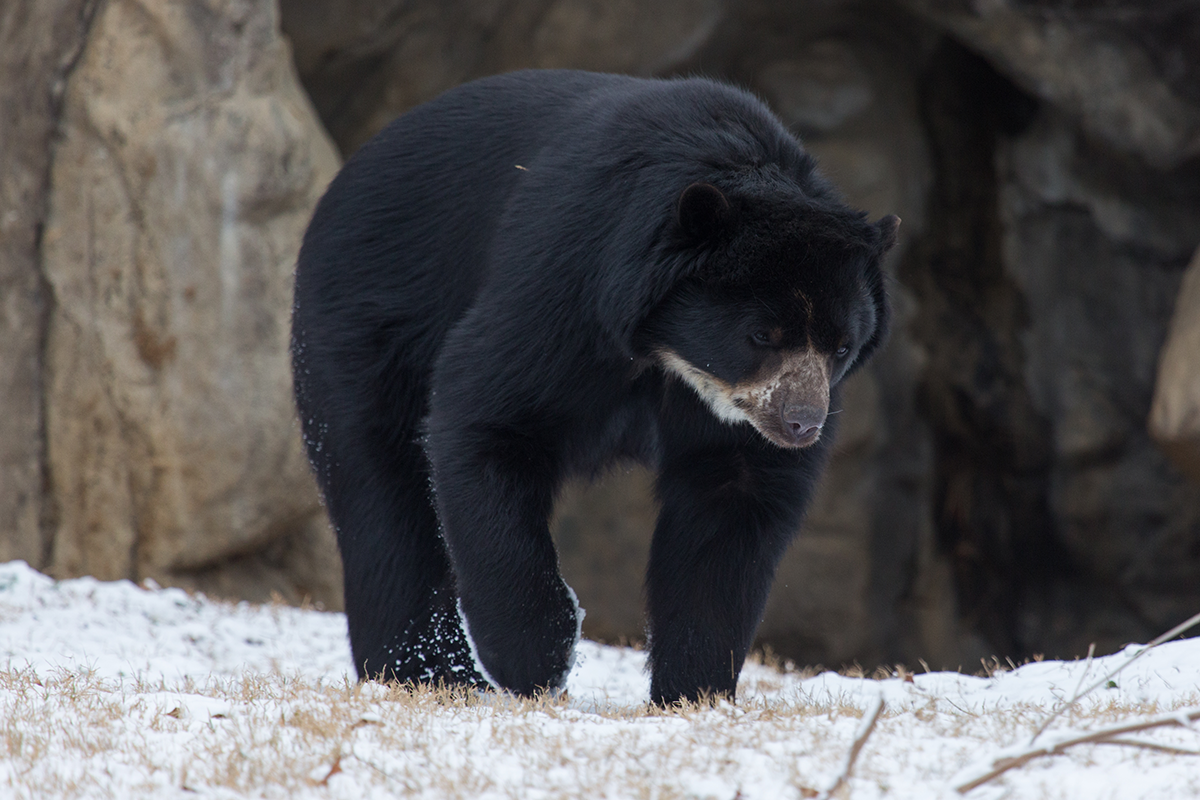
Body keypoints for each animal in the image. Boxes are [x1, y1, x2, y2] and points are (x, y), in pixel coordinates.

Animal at [290, 70, 897, 705]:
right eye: (761, 335)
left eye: (841, 347)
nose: (801, 423)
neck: (668, 356)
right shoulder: (570, 281)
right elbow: (484, 413)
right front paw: (537, 656)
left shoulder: (729, 419)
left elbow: (734, 504)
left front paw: (694, 688)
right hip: (367, 314)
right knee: (380, 485)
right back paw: (434, 675)